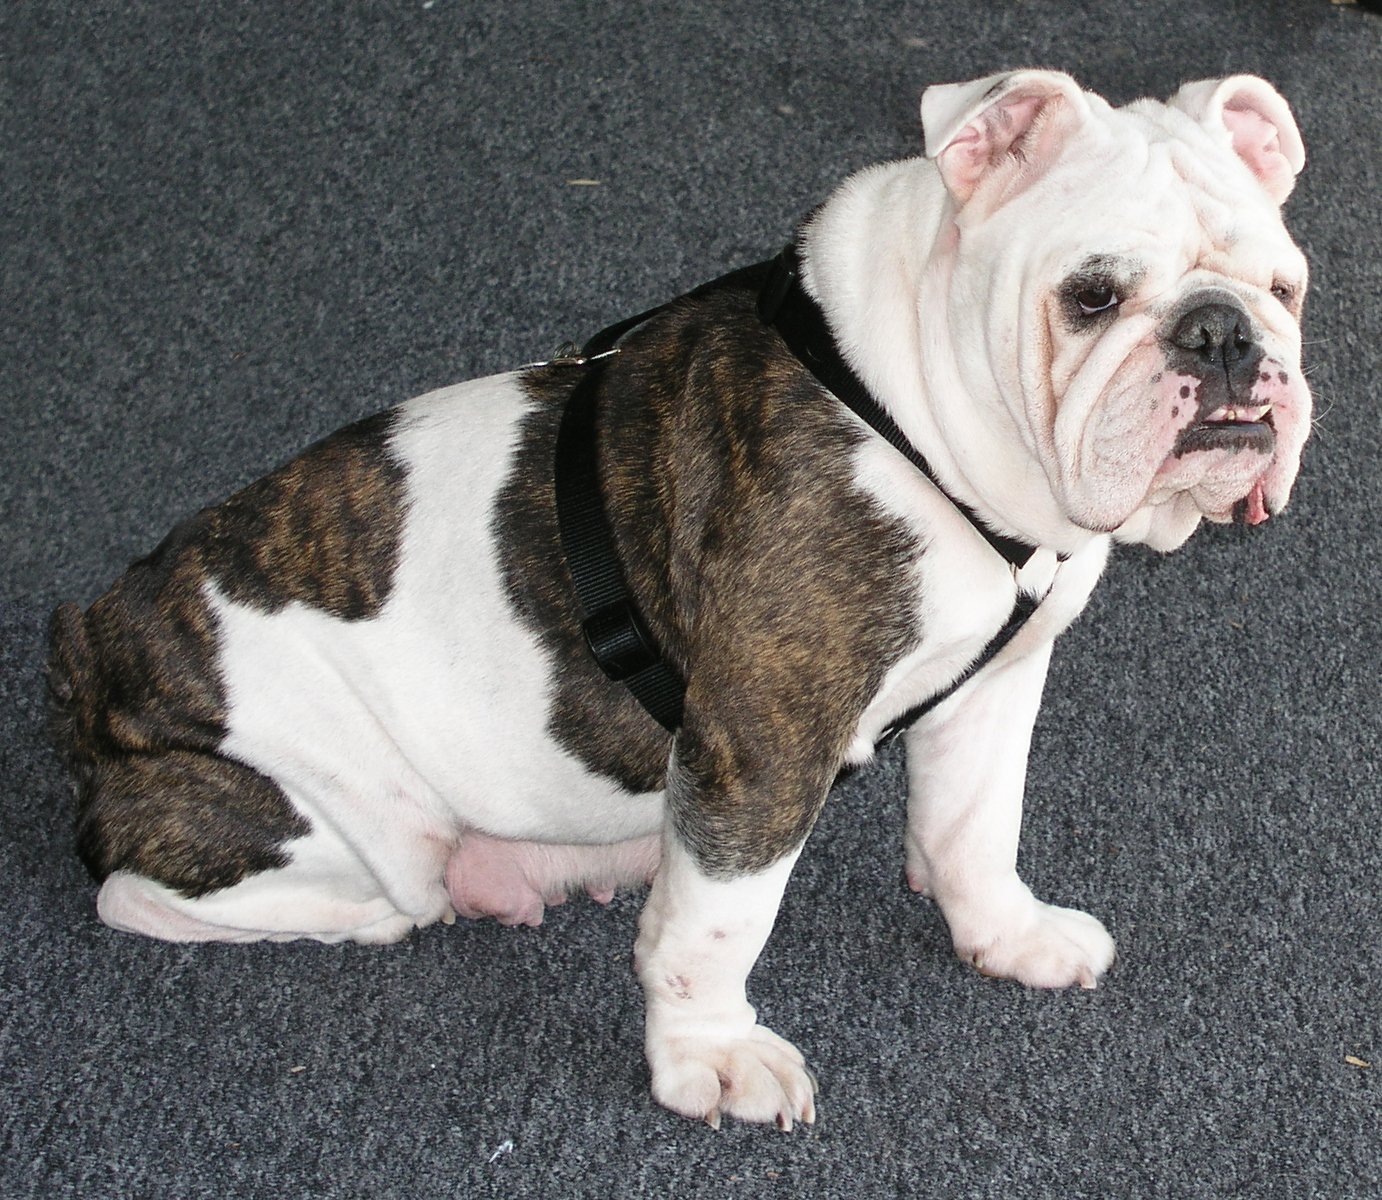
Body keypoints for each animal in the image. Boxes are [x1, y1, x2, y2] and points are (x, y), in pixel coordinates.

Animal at [48, 72, 1310, 1122]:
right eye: (1090, 296)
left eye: (1283, 288)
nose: (1222, 333)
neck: (907, 415)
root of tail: (94, 646)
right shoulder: (760, 737)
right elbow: (721, 920)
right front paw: (709, 1055)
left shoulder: (994, 683)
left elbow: (970, 824)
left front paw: (1002, 934)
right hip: (320, 815)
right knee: (170, 893)